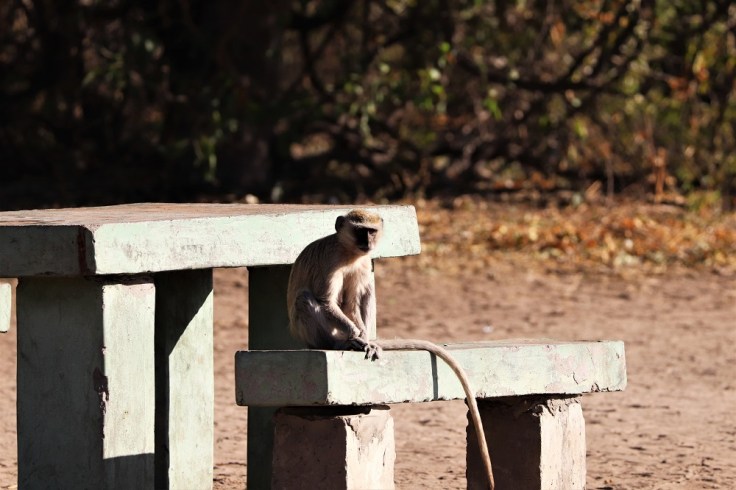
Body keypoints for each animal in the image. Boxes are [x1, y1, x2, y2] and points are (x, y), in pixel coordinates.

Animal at [287, 209, 495, 490]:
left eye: (371, 231)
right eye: (360, 230)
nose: (368, 242)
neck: (349, 252)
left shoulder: (364, 263)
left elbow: (353, 301)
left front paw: (366, 339)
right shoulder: (330, 261)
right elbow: (325, 301)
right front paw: (358, 339)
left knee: (363, 293)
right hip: (315, 334)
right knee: (305, 299)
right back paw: (342, 343)